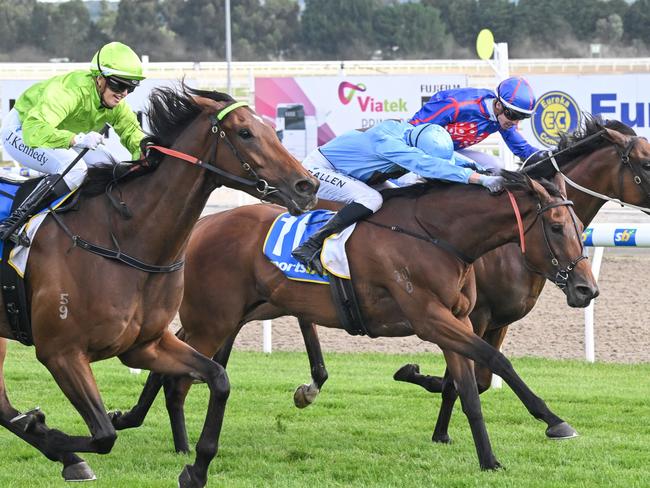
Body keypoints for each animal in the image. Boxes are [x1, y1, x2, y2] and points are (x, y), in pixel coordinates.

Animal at [0, 86, 316, 486]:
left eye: (273, 130)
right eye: (245, 133)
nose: (307, 186)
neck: (121, 239)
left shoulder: (145, 345)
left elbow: (218, 378)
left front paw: (197, 467)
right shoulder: (60, 351)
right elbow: (104, 434)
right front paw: (43, 428)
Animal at [109, 170, 596, 470]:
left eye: (579, 226)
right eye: (556, 228)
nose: (586, 289)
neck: (438, 235)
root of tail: (199, 230)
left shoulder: (455, 320)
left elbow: (470, 390)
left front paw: (488, 460)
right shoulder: (432, 319)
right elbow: (496, 364)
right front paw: (555, 421)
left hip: (231, 316)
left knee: (176, 365)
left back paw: (160, 433)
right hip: (212, 319)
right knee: (178, 375)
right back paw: (175, 442)